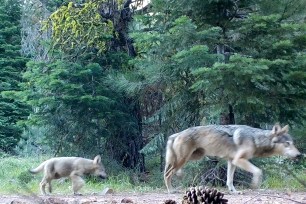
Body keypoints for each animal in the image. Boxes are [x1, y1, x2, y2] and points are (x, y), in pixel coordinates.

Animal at [165, 124, 302, 193]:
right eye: (287, 144)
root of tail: (176, 134)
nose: (299, 155)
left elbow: (229, 180)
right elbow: (258, 171)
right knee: (167, 174)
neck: (256, 139)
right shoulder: (238, 160)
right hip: (184, 159)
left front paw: (234, 191)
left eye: (293, 143)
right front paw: (254, 185)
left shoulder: (232, 161)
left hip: (194, 157)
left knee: (172, 171)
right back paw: (171, 190)